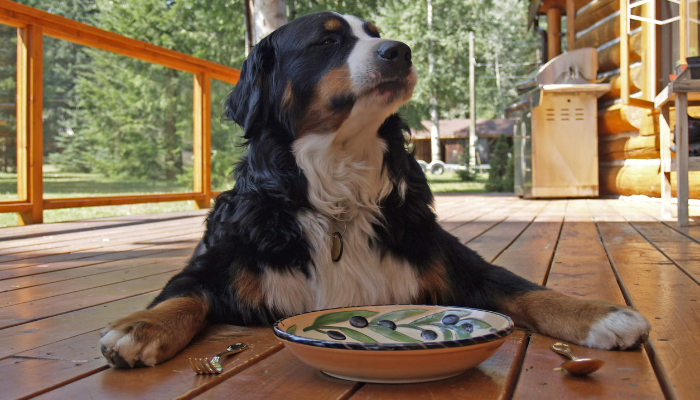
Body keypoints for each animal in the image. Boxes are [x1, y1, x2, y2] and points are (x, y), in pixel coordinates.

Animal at [98, 11, 652, 368]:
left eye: (376, 34)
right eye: (326, 42)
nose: (399, 51)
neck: (338, 192)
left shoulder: (451, 259)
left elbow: (526, 290)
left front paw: (599, 315)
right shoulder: (217, 262)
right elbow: (183, 297)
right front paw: (138, 327)